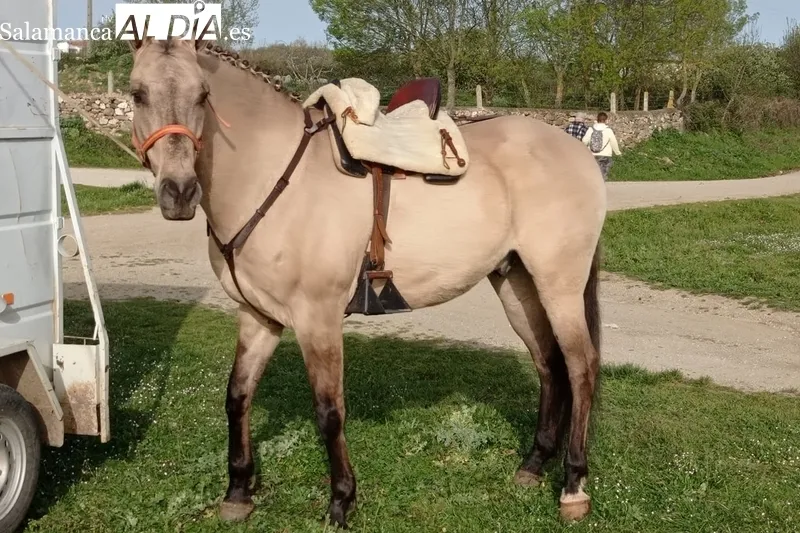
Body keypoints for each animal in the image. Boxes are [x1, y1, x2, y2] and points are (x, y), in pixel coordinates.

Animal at [127, 37, 607, 528]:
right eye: (137, 94)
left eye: (203, 95)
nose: (179, 193)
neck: (274, 176)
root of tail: (574, 149)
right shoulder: (258, 316)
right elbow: (238, 395)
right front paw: (239, 491)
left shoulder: (317, 319)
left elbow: (328, 411)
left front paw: (341, 500)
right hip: (517, 284)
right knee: (549, 364)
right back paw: (534, 464)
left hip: (559, 285)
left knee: (582, 367)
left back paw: (573, 485)